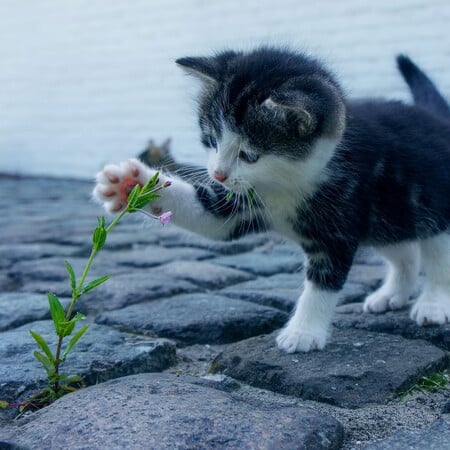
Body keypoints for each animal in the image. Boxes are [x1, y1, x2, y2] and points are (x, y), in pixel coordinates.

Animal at [92, 47, 450, 354]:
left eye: (250, 155)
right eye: (211, 140)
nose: (217, 174)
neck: (287, 183)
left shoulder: (339, 222)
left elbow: (323, 282)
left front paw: (303, 332)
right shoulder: (242, 202)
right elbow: (211, 218)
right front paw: (130, 184)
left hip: (428, 206)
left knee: (436, 256)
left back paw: (432, 303)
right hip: (388, 216)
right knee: (405, 252)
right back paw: (392, 294)